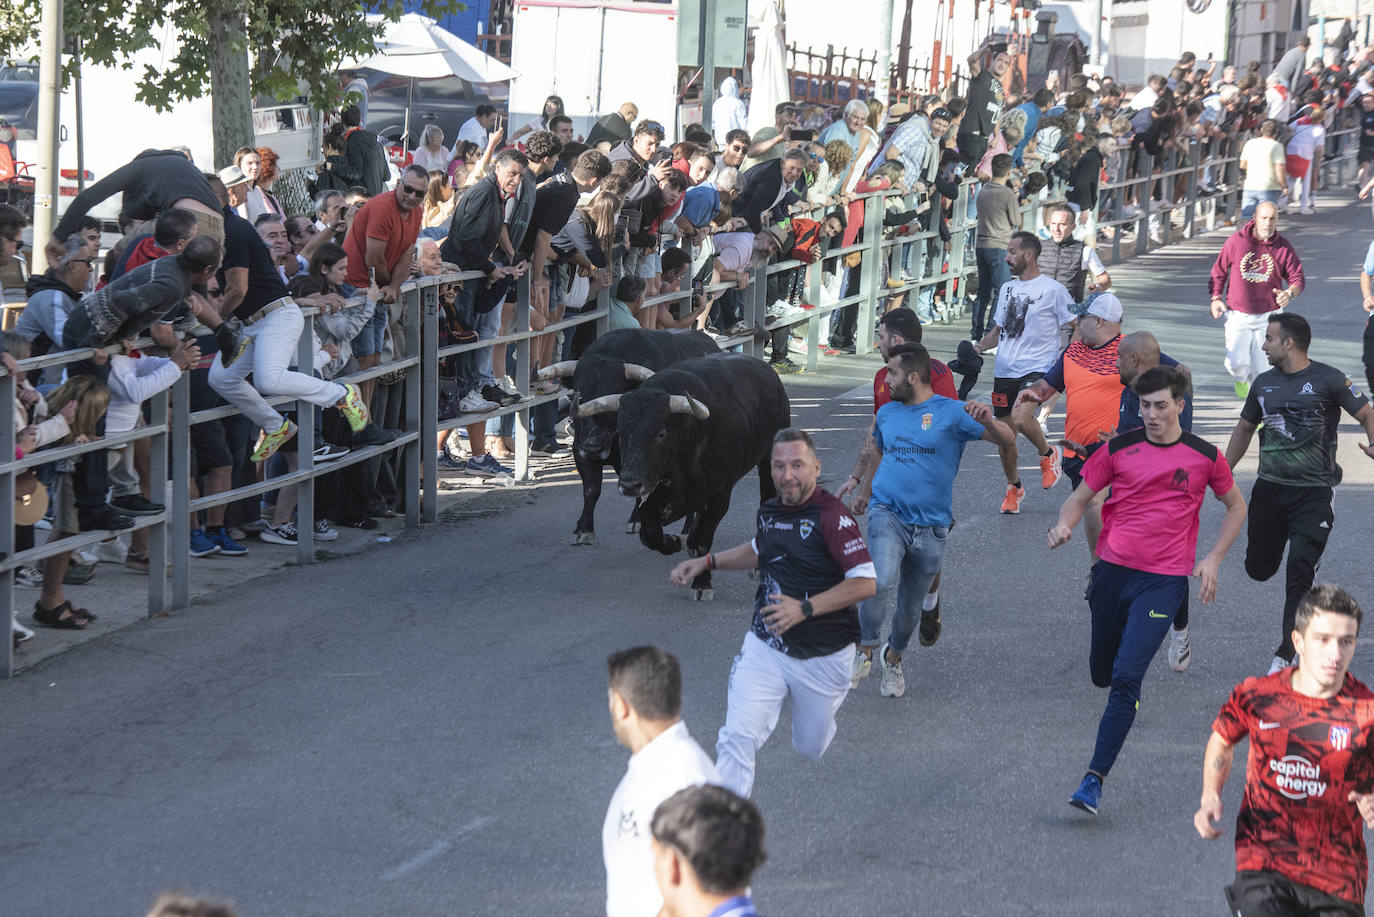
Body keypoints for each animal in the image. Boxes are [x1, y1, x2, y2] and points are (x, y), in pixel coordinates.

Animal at [541, 329, 725, 544]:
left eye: (615, 392)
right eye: (580, 396)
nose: (593, 447)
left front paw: (636, 521)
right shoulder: (580, 450)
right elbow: (591, 490)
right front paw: (584, 529)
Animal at [571, 351, 791, 602]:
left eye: (661, 433)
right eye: (621, 432)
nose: (628, 485)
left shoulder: (718, 498)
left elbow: (702, 541)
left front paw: (702, 584)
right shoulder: (648, 498)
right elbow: (651, 535)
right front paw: (675, 541)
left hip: (768, 463)